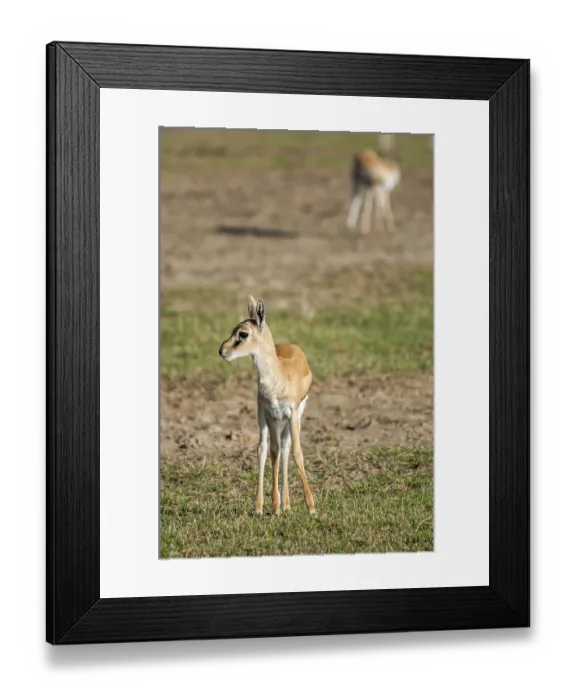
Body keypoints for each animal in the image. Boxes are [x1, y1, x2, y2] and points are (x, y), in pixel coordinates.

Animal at [218, 296, 316, 516]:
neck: (278, 378)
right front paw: (275, 505)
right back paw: (263, 506)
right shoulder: (270, 414)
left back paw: (287, 504)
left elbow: (296, 452)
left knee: (287, 446)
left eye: (243, 333)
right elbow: (272, 451)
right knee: (263, 450)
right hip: (262, 416)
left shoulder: (293, 414)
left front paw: (311, 506)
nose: (222, 351)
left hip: (294, 417)